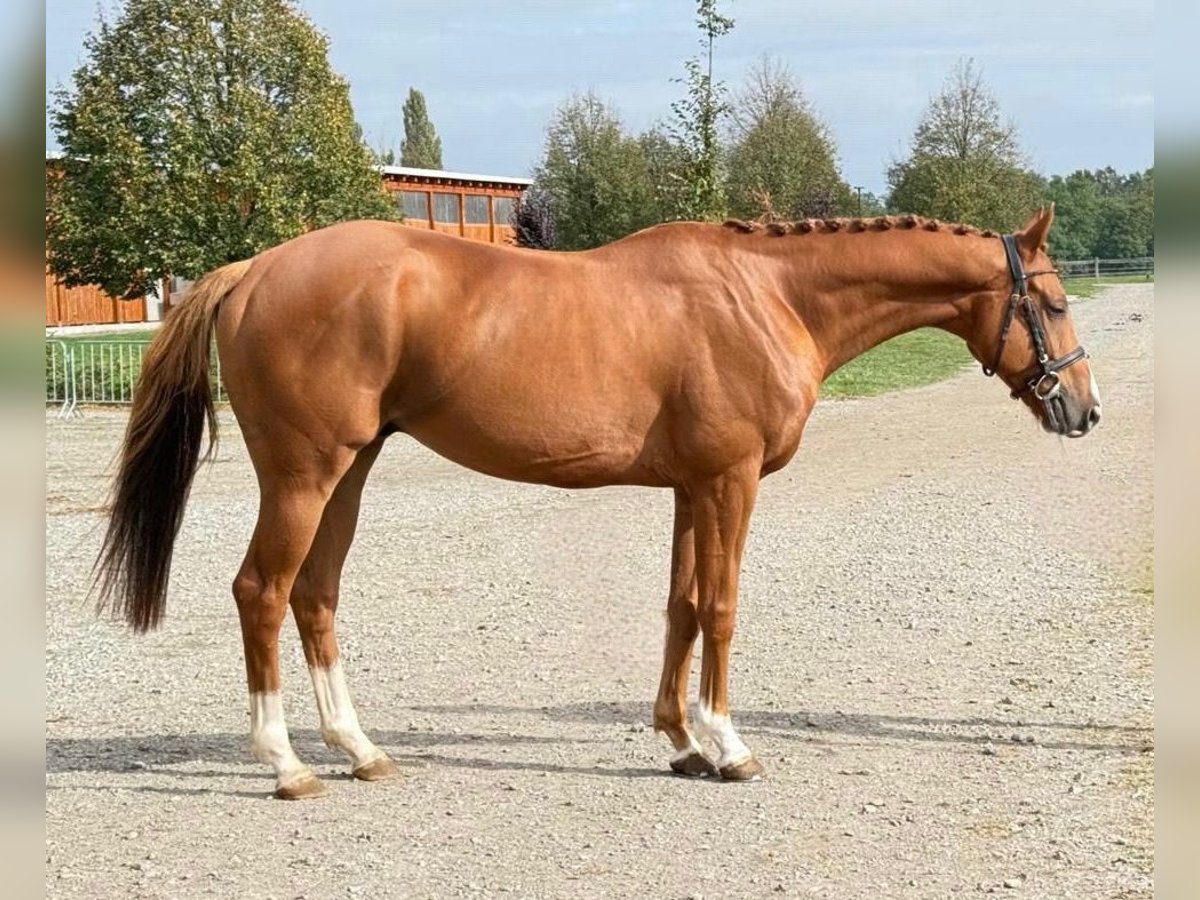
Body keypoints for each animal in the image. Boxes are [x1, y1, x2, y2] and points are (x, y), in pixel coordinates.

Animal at [98, 207, 1099, 801]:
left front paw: (682, 740)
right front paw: (730, 744)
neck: (767, 294)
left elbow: (682, 607)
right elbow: (722, 609)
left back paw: (359, 748)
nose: (1084, 410)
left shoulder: (693, 486)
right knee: (262, 592)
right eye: (1050, 303)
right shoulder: (729, 481)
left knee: (315, 595)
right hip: (304, 476)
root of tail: (255, 269)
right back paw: (287, 763)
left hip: (350, 470)